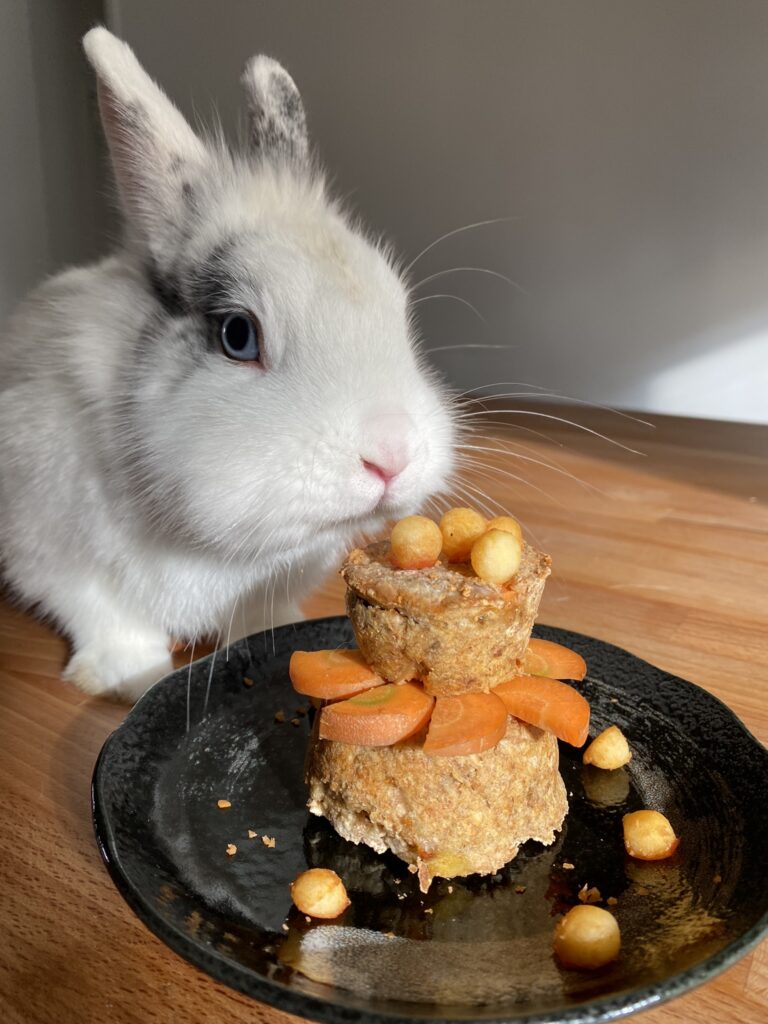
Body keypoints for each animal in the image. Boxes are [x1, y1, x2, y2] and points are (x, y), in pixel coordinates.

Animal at [0, 29, 456, 704]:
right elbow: (105, 615)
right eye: (238, 335)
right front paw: (129, 679)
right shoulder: (51, 553)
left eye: (396, 307)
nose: (392, 456)